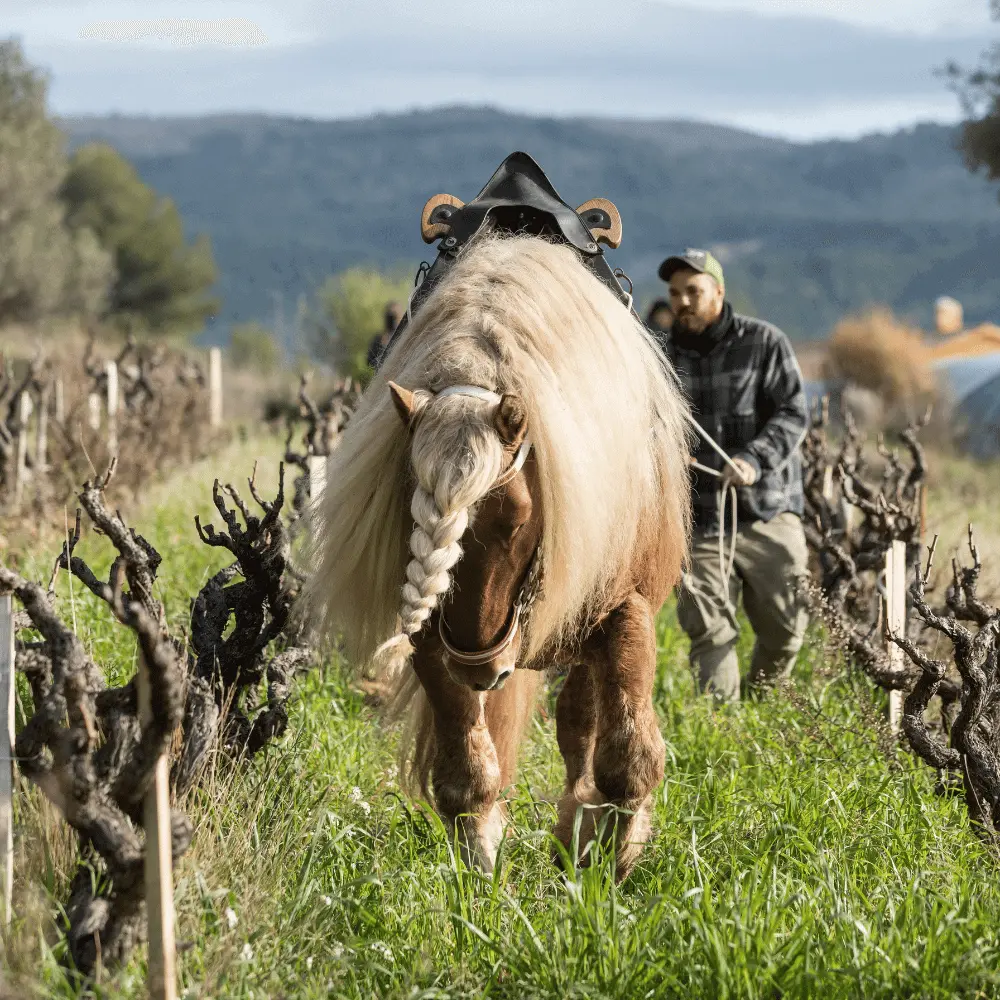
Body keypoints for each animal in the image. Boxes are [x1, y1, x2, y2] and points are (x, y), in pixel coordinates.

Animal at [308, 156, 692, 876]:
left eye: (515, 521)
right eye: (417, 517)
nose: (478, 662)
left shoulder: (627, 607)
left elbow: (626, 752)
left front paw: (615, 851)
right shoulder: (428, 629)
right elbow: (465, 762)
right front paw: (481, 857)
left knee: (581, 723)